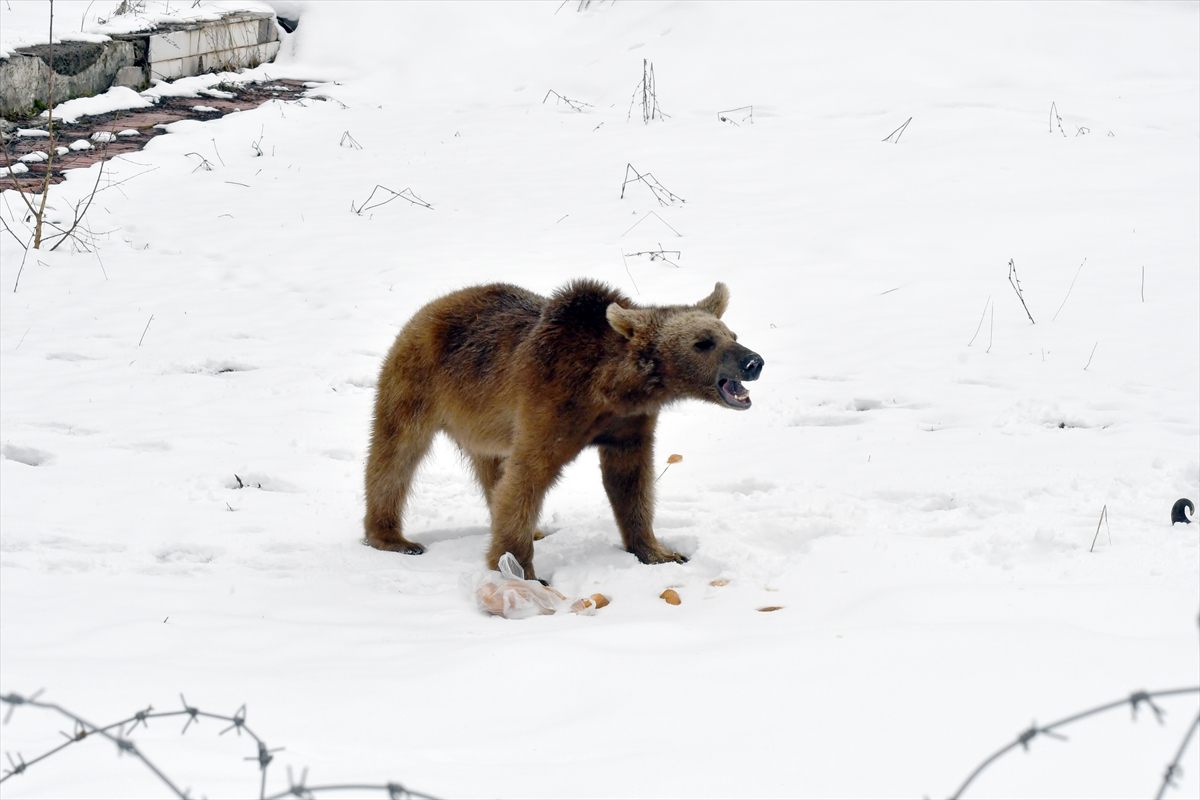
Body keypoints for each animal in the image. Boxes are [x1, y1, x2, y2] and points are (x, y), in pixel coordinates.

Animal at [360, 278, 763, 578]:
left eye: (732, 333)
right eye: (703, 343)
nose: (753, 361)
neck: (611, 387)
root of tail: (433, 305)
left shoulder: (628, 426)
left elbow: (631, 482)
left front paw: (659, 551)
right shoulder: (550, 402)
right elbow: (527, 478)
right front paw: (520, 569)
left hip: (481, 420)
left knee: (491, 467)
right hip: (418, 382)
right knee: (395, 455)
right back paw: (394, 538)